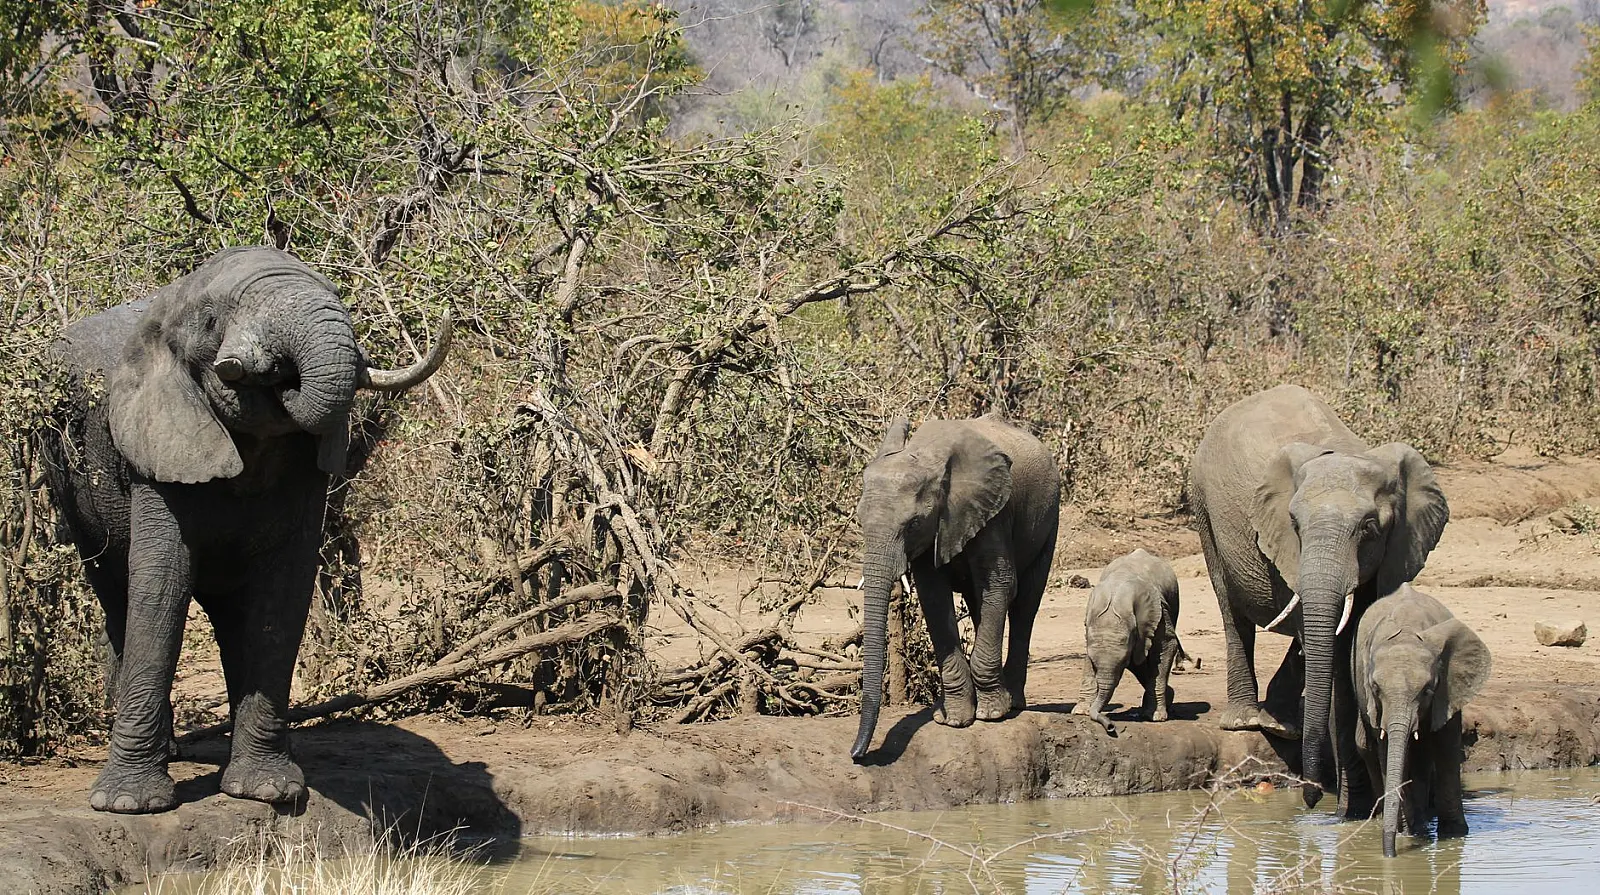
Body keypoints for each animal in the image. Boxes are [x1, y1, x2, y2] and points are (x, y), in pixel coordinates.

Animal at [37, 246, 451, 814]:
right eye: (212, 321)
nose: (268, 368)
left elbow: (281, 595)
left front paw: (268, 791)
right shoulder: (155, 449)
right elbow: (162, 587)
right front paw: (128, 804)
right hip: (69, 485)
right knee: (116, 592)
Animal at [850, 414, 1060, 761]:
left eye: (913, 524)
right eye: (860, 520)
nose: (857, 755)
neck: (927, 456)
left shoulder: (993, 513)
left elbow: (1000, 584)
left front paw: (991, 714)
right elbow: (934, 597)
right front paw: (951, 719)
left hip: (1049, 517)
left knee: (1025, 604)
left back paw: (1013, 703)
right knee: (979, 603)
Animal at [1071, 548, 1181, 735]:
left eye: (1122, 661)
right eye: (1094, 664)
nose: (1110, 726)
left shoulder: (1158, 609)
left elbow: (1166, 645)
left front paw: (1156, 716)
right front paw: (1080, 711)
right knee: (1138, 662)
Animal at [1189, 384, 1448, 811]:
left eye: (1369, 527)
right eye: (1294, 524)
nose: (1309, 797)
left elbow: (1350, 641)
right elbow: (1330, 654)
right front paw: (1349, 804)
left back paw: (1282, 726)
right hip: (1203, 507)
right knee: (1231, 610)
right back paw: (1246, 721)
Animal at [1353, 584, 1490, 857]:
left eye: (1427, 690)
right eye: (1375, 688)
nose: (1390, 855)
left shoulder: (1448, 689)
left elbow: (1446, 749)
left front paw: (1454, 834)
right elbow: (1389, 752)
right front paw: (1410, 833)